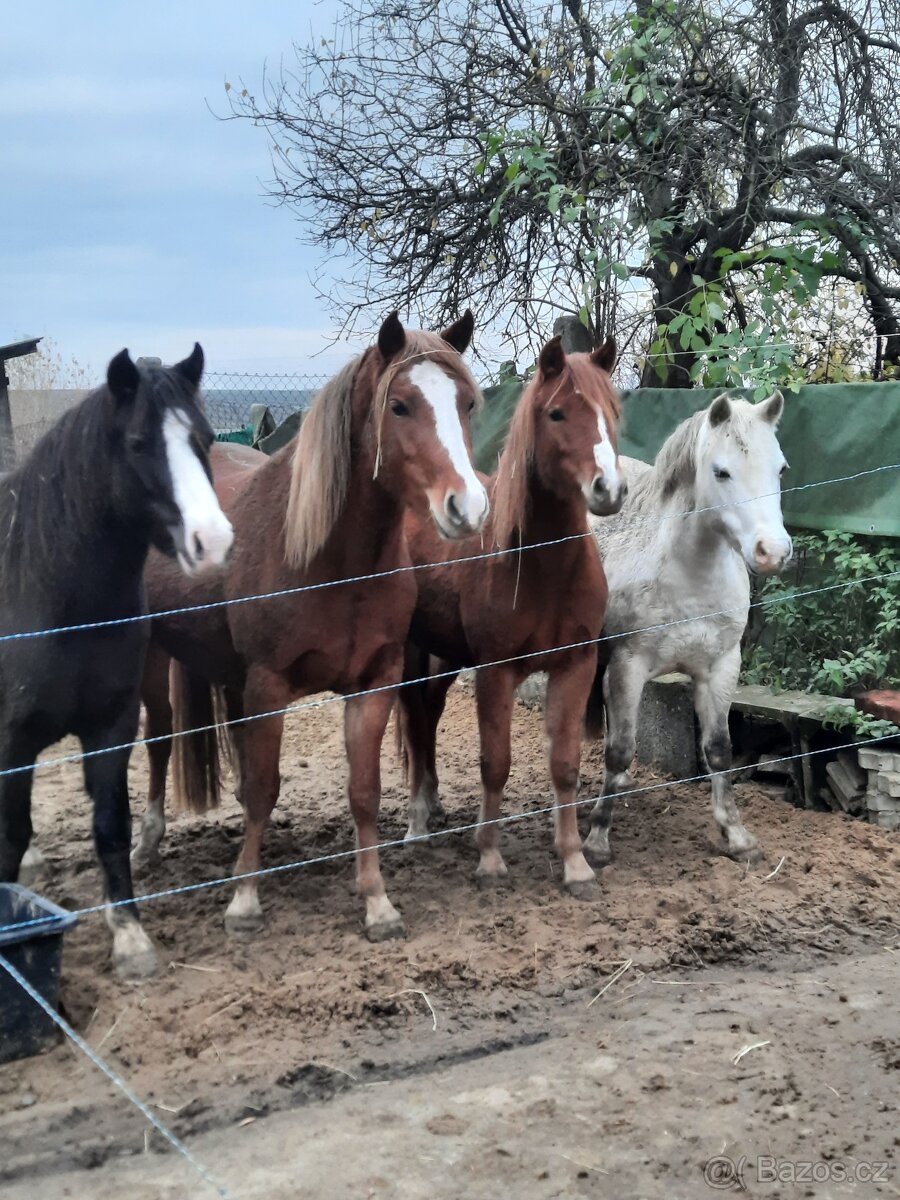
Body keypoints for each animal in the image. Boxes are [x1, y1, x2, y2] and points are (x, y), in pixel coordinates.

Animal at [0, 346, 233, 980]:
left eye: (204, 437)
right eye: (136, 443)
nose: (211, 541)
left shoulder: (111, 727)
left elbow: (109, 826)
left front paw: (130, 937)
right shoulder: (10, 743)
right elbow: (10, 838)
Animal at [137, 312, 489, 941]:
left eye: (467, 403)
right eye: (399, 406)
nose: (466, 508)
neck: (329, 563)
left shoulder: (374, 684)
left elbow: (364, 792)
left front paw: (377, 902)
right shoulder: (269, 684)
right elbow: (262, 788)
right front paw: (244, 901)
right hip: (153, 653)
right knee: (158, 737)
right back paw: (149, 840)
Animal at [396, 335, 625, 896]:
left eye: (612, 412)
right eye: (557, 413)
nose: (609, 489)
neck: (541, 564)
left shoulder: (575, 666)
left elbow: (564, 765)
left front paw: (574, 862)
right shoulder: (496, 672)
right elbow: (495, 763)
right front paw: (490, 857)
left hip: (445, 656)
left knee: (428, 715)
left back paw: (433, 804)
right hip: (410, 652)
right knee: (414, 720)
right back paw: (417, 821)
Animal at [582, 390, 792, 867]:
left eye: (781, 468)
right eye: (721, 471)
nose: (772, 552)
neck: (689, 577)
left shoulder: (721, 668)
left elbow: (718, 750)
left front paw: (737, 836)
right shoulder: (627, 667)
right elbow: (620, 750)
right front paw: (597, 841)